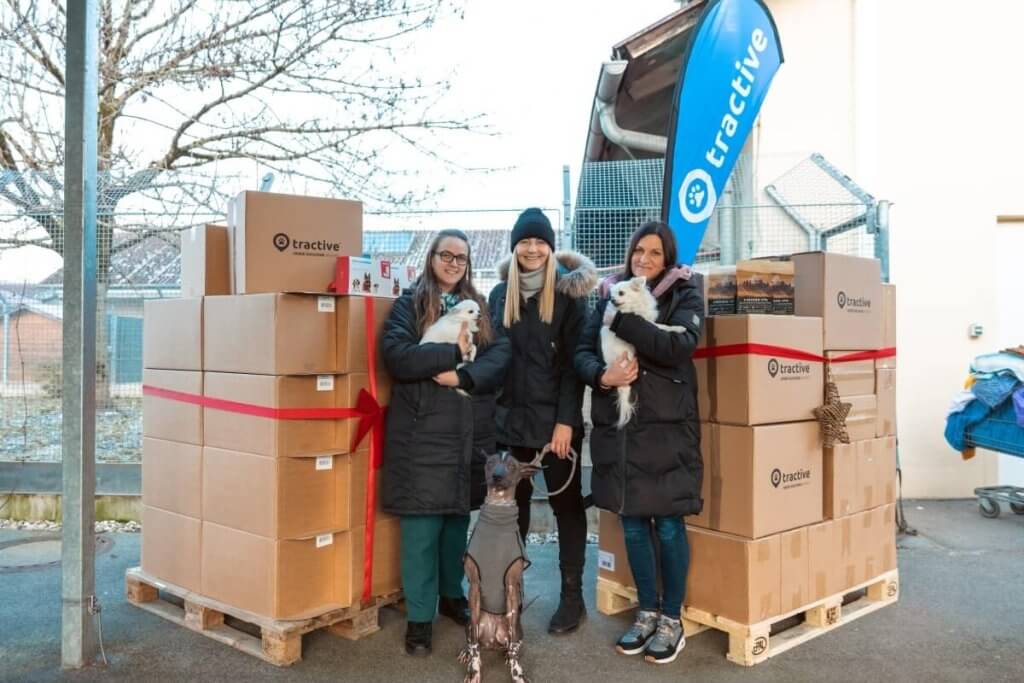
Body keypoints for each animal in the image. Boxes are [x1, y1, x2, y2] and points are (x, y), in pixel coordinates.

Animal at [602, 276, 684, 428]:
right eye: (611, 296)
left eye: (621, 293)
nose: (612, 300)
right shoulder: (647, 323)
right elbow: (662, 326)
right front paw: (678, 328)